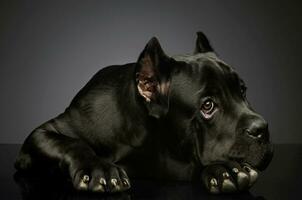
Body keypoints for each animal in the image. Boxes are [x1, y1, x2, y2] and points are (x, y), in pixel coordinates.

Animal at [14, 32, 274, 194]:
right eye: (208, 105)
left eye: (242, 90)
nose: (262, 129)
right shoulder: (41, 135)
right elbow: (72, 143)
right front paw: (99, 169)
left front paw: (226, 170)